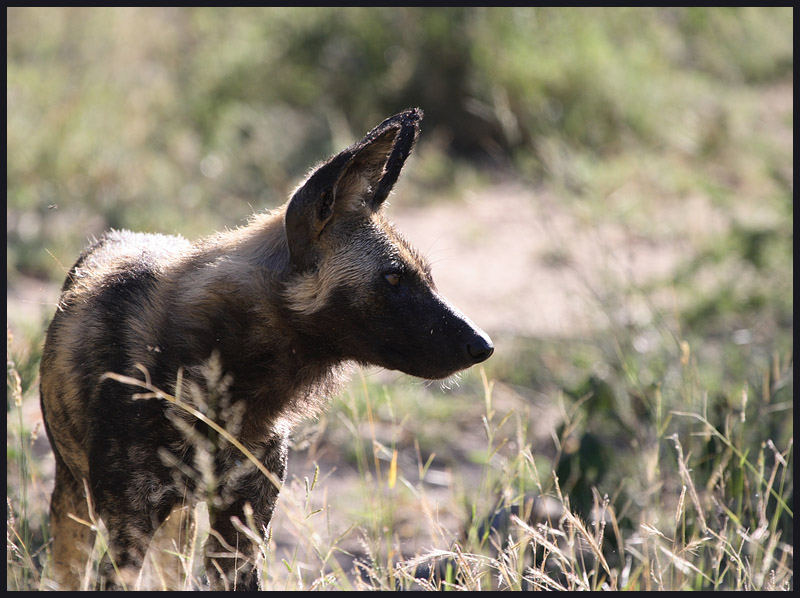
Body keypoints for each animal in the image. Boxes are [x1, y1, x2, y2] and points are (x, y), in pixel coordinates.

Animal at [39, 108, 494, 592]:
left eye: (426, 276)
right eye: (393, 278)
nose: (483, 345)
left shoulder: (243, 528)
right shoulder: (128, 527)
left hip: (175, 532)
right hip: (79, 509)